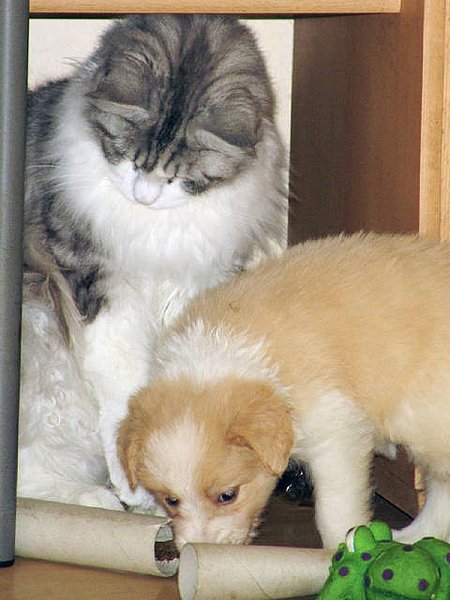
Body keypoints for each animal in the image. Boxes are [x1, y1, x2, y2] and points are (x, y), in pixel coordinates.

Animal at [19, 14, 287, 512]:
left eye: (178, 178)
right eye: (126, 158)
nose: (144, 194)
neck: (156, 230)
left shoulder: (193, 288)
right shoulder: (100, 292)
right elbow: (124, 393)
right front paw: (137, 485)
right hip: (44, 335)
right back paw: (97, 499)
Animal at [118, 233, 450, 549]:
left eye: (228, 495)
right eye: (171, 500)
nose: (196, 551)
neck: (212, 359)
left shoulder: (335, 432)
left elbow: (334, 508)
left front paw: (344, 548)